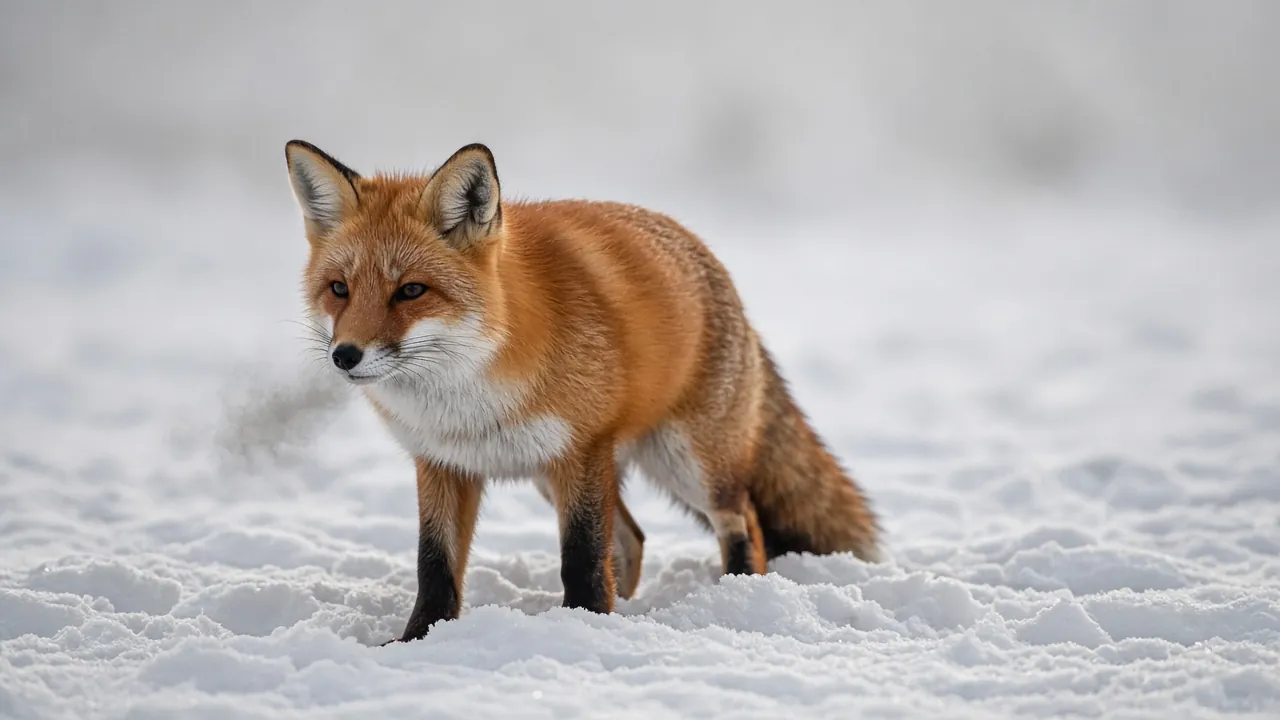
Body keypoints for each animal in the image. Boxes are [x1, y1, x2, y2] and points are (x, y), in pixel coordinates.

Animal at [283, 139, 881, 643]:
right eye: (339, 289)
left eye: (411, 291)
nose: (345, 355)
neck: (470, 396)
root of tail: (709, 259)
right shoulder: (442, 461)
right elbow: (435, 566)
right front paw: (417, 641)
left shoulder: (583, 449)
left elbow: (582, 557)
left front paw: (584, 626)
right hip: (556, 475)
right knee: (635, 540)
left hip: (688, 464)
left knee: (743, 523)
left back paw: (739, 592)